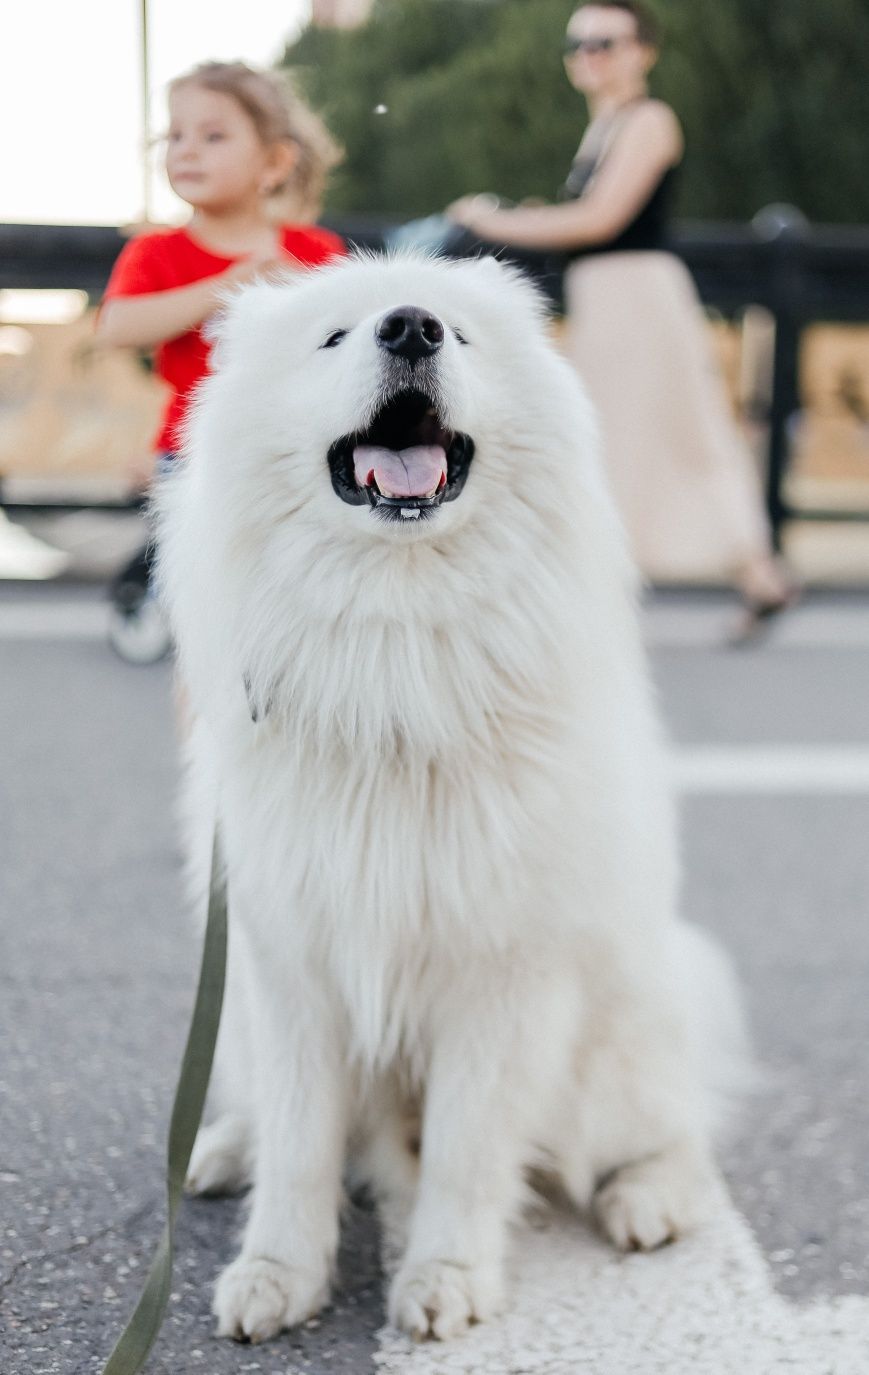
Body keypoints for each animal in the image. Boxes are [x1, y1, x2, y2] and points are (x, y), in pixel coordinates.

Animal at [156, 255, 748, 1342]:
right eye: (335, 336)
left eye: (459, 336)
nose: (411, 327)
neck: (394, 656)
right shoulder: (288, 965)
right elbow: (299, 1146)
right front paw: (275, 1275)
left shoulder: (499, 975)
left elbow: (469, 1153)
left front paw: (444, 1278)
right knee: (260, 1110)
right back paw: (218, 1149)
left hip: (621, 1040)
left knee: (676, 1132)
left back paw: (644, 1200)